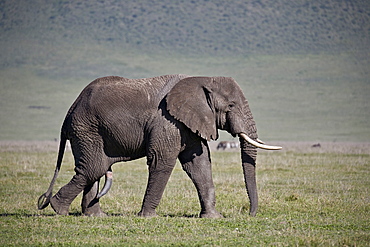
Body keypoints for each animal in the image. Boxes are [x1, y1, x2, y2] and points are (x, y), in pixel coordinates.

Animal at [37, 74, 280, 217]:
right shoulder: (167, 120)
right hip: (87, 129)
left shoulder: (186, 122)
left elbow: (199, 164)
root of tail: (69, 111)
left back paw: (95, 216)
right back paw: (58, 209)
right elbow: (162, 162)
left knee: (94, 170)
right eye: (231, 105)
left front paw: (212, 217)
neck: (201, 80)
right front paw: (148, 217)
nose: (249, 214)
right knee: (92, 168)